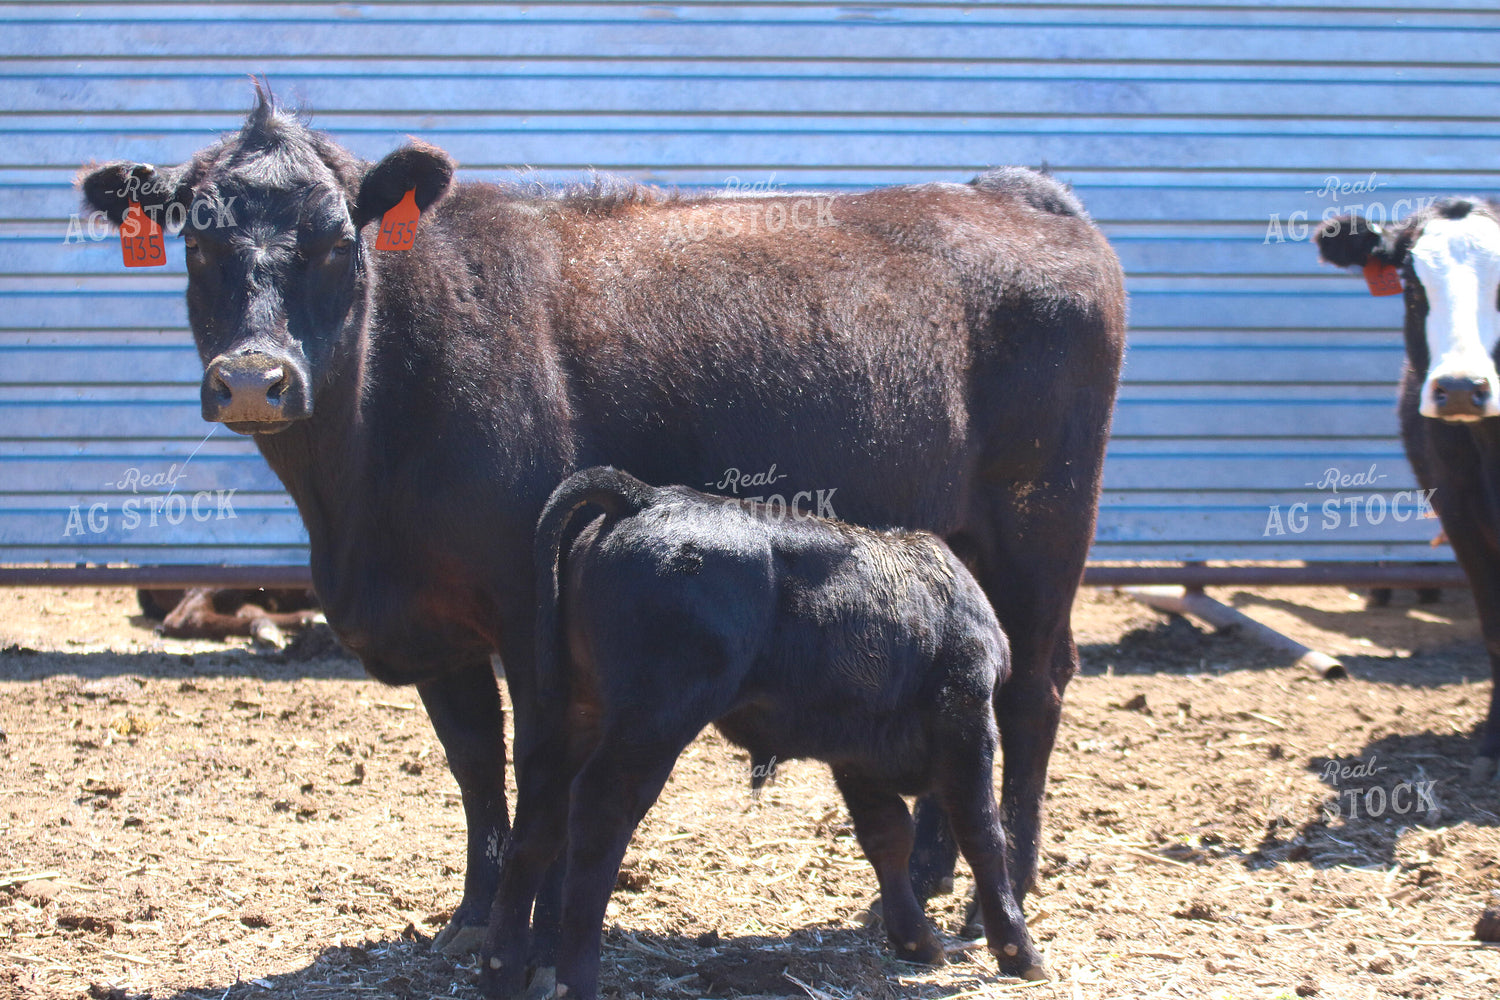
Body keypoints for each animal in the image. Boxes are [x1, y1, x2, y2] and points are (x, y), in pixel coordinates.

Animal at [482, 467, 1048, 1000]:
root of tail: (645, 496)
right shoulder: (967, 719)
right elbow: (983, 833)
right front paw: (1017, 950)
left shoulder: (856, 752)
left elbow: (889, 837)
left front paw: (916, 940)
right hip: (653, 722)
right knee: (600, 813)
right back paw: (574, 979)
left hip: (577, 713)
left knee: (539, 815)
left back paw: (499, 969)